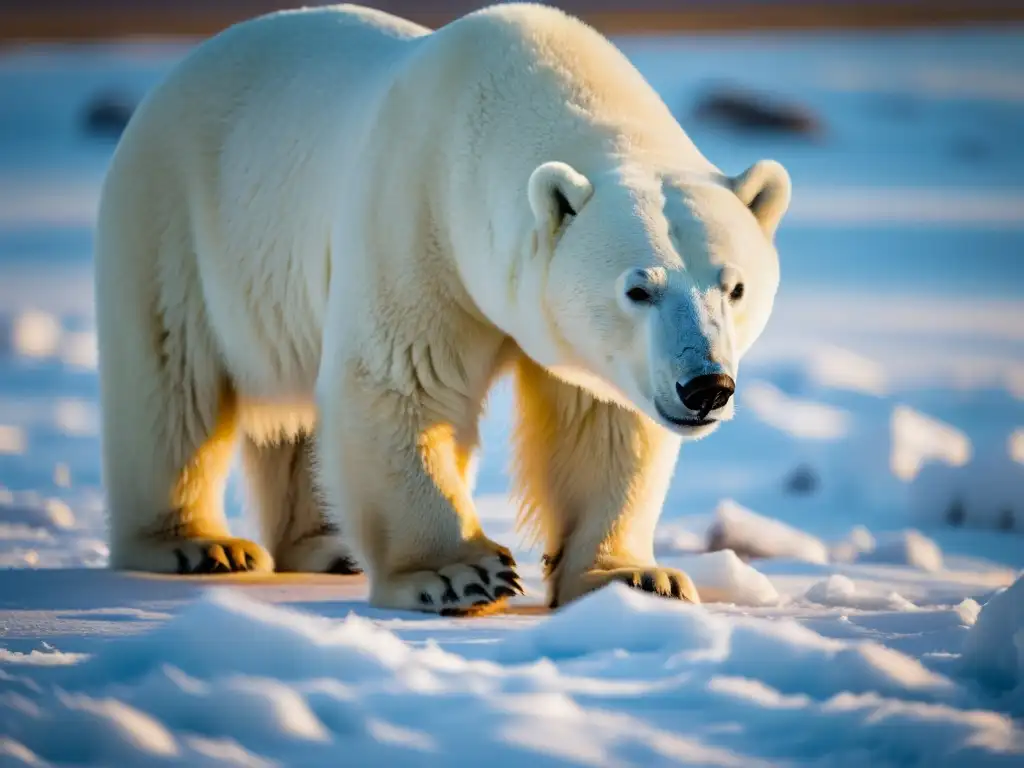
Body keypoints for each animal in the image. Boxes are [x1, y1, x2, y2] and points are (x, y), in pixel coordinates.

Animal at [92, 1, 786, 614]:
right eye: (639, 288)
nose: (707, 386)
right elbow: (401, 381)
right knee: (169, 374)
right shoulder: (414, 215)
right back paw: (199, 545)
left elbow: (600, 420)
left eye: (734, 287)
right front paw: (456, 574)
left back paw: (328, 547)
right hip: (175, 218)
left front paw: (636, 579)